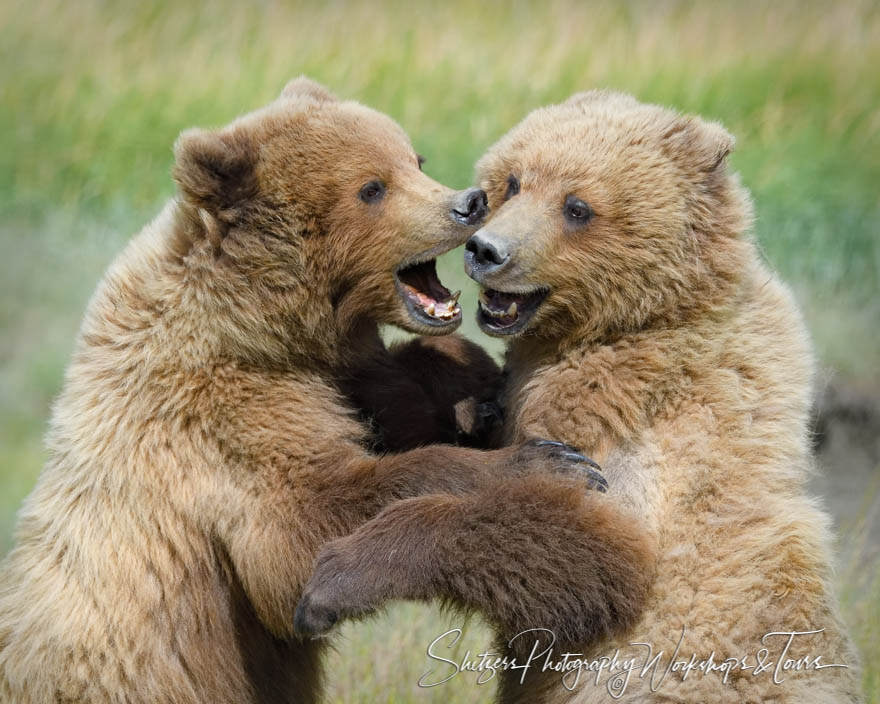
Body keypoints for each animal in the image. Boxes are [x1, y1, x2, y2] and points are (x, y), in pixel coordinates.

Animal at [0, 78, 600, 704]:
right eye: (371, 187)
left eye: (415, 160)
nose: (469, 201)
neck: (259, 327)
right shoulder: (221, 416)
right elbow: (302, 530)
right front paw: (548, 463)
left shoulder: (327, 377)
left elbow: (395, 397)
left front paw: (472, 389)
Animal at [300, 91, 864, 700]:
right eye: (514, 181)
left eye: (577, 207)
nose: (486, 249)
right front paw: (468, 408)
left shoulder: (650, 431)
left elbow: (597, 554)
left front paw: (334, 579)